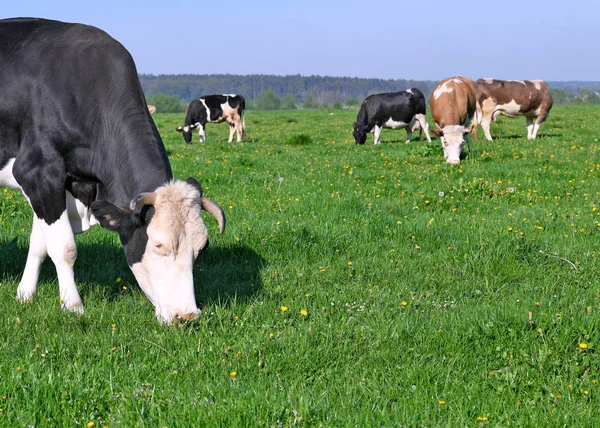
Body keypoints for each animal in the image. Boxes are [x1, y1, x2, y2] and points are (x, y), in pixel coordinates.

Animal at [1, 17, 225, 324]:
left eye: (202, 247)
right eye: (158, 245)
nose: (187, 315)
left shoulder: (58, 185)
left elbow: (39, 244)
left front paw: (25, 295)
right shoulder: (38, 172)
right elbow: (64, 248)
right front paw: (73, 306)